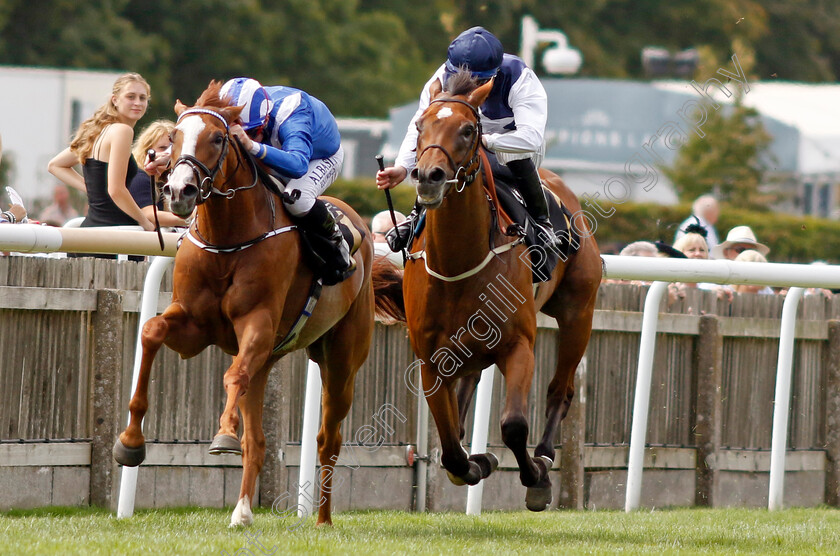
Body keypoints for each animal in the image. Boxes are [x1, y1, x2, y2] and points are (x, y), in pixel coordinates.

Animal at [111, 82, 374, 524]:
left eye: (219, 138)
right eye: (174, 137)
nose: (178, 191)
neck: (228, 238)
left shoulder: (258, 324)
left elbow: (233, 376)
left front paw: (223, 435)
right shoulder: (193, 325)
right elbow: (151, 330)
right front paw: (130, 442)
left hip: (341, 359)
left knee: (328, 439)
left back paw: (322, 518)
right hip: (270, 360)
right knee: (260, 440)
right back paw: (243, 511)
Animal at [378, 74, 600, 512]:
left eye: (468, 130)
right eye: (419, 126)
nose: (428, 176)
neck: (457, 264)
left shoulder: (519, 345)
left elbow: (513, 426)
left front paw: (535, 478)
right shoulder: (431, 359)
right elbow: (449, 444)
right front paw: (472, 463)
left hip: (579, 313)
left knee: (561, 390)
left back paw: (544, 456)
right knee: (467, 393)